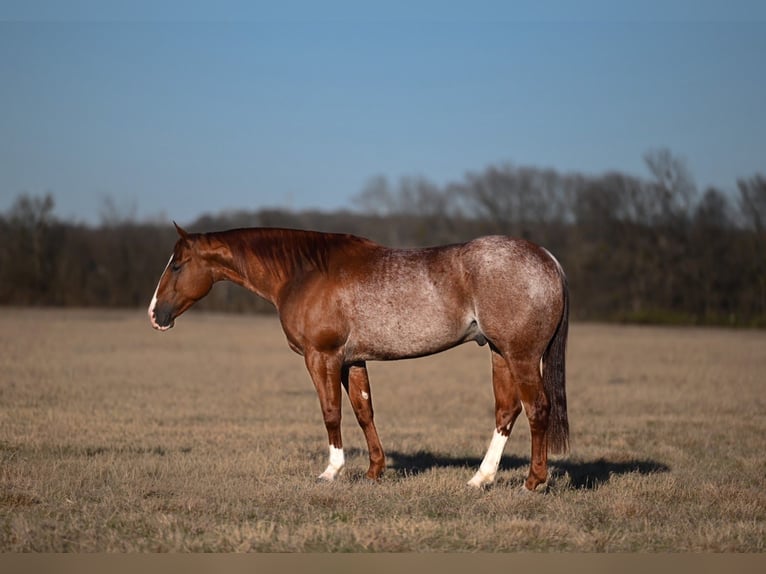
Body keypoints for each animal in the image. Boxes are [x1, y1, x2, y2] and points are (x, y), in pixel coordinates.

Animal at [148, 223, 569, 491]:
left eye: (177, 265)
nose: (155, 315)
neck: (305, 273)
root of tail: (548, 258)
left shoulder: (322, 358)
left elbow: (331, 412)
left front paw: (331, 471)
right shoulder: (353, 362)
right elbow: (364, 412)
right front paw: (374, 471)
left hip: (521, 355)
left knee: (537, 409)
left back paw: (533, 481)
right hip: (500, 353)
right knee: (506, 411)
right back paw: (481, 479)